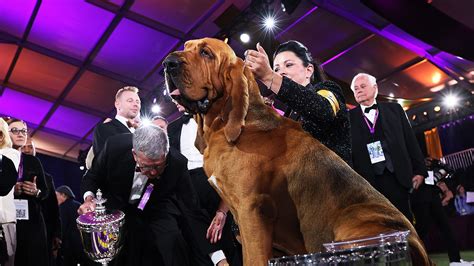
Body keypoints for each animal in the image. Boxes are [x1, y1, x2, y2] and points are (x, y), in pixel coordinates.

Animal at [162, 38, 430, 266]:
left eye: (206, 53)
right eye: (187, 47)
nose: (167, 63)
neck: (223, 124)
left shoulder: (252, 211)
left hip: (352, 228)